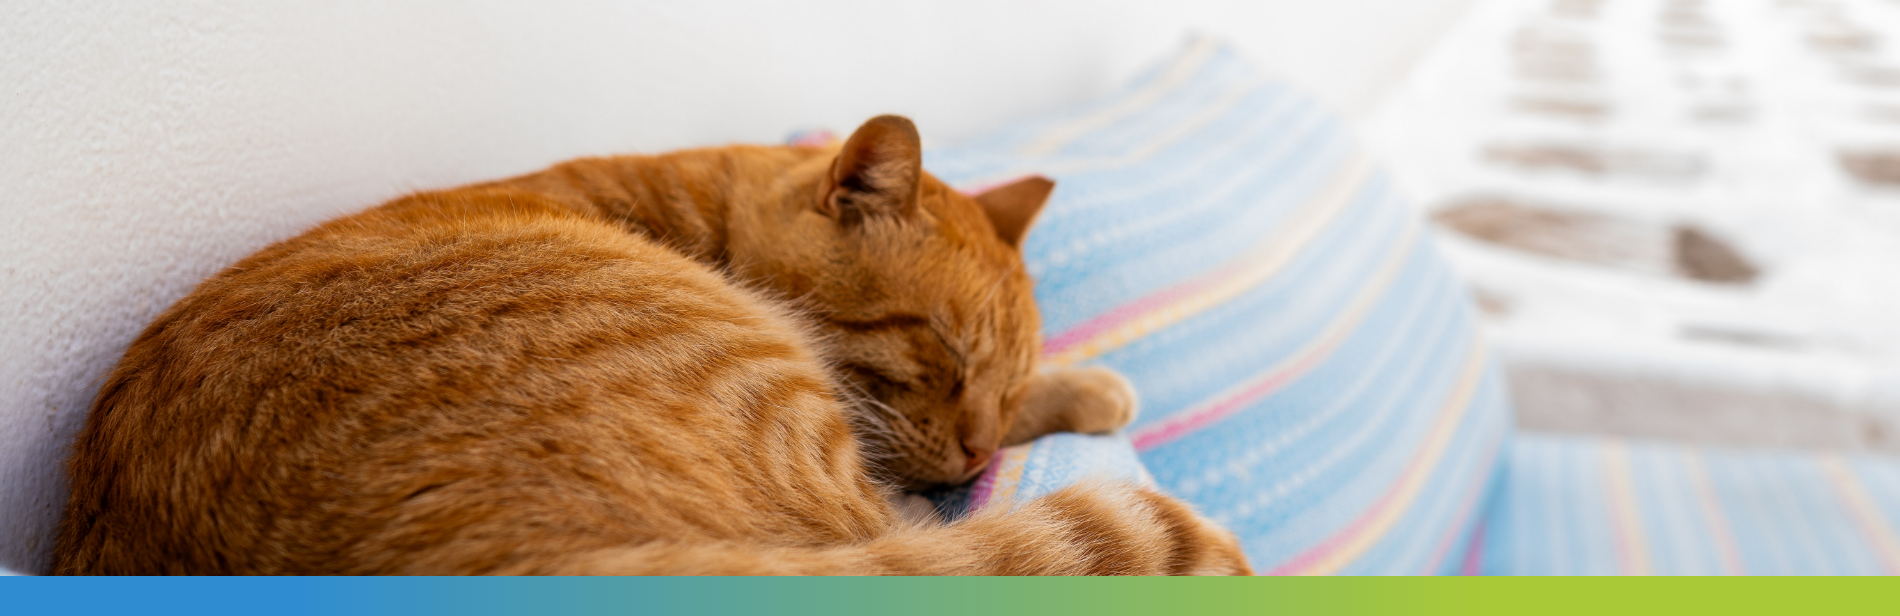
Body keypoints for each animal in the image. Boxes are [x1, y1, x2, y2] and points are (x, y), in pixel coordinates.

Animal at [52, 116, 1254, 577]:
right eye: (946, 362)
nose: (976, 452)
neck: (696, 212)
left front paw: (1077, 387)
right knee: (890, 533)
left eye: (1000, 391)